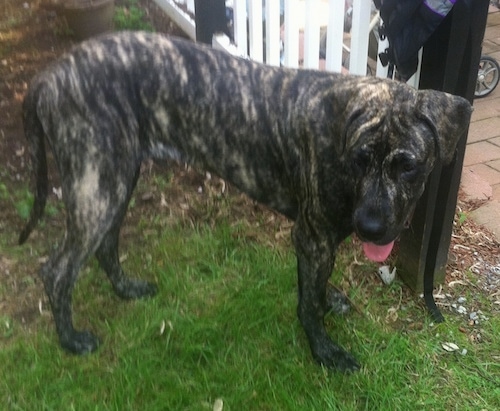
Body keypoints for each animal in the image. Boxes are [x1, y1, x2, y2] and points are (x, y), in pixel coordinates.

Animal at [19, 33, 472, 374]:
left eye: (407, 166)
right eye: (361, 159)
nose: (370, 228)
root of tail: (51, 75)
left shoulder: (321, 244)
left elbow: (317, 287)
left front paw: (329, 301)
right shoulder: (312, 238)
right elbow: (308, 303)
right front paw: (324, 351)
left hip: (117, 180)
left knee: (106, 244)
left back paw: (126, 289)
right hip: (98, 186)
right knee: (57, 270)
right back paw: (70, 339)